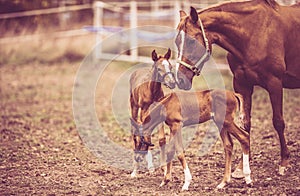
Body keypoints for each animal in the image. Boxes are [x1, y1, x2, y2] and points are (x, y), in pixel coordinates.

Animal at [129, 48, 176, 178]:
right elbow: (143, 134)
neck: (152, 90)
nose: (172, 83)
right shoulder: (144, 111)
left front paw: (164, 168)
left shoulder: (160, 112)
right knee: (134, 129)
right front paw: (136, 169)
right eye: (159, 68)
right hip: (134, 106)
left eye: (170, 66)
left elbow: (161, 139)